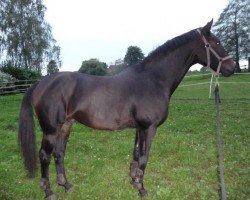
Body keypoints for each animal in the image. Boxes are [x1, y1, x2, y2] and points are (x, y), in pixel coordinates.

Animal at [19, 20, 234, 198]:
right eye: (215, 43)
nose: (232, 67)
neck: (153, 79)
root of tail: (41, 83)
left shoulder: (140, 127)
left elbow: (136, 155)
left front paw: (134, 181)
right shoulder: (149, 127)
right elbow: (145, 158)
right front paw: (142, 189)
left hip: (66, 125)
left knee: (59, 153)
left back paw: (66, 185)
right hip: (50, 129)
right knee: (44, 156)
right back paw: (49, 191)